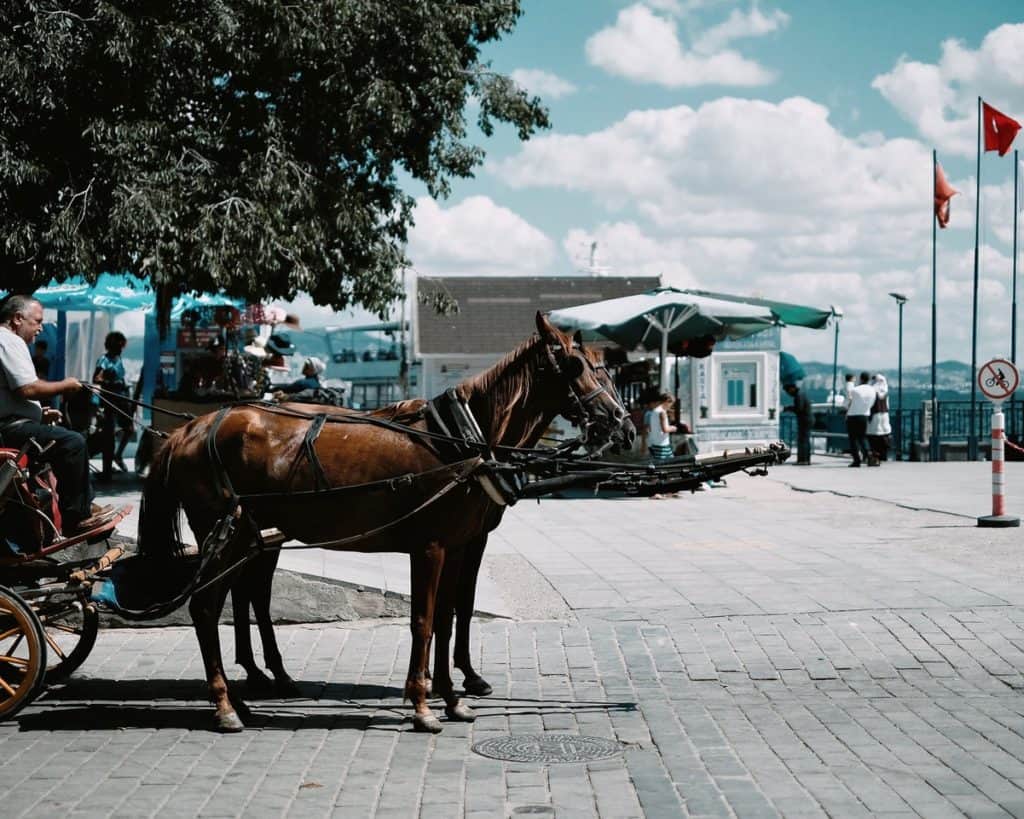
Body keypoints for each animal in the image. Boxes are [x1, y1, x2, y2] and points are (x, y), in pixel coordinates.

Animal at [138, 313, 630, 728]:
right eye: (574, 366)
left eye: (606, 369)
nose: (622, 424)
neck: (461, 440)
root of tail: (192, 430)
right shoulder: (431, 547)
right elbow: (424, 621)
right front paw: (423, 704)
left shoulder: (457, 545)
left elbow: (448, 617)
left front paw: (452, 697)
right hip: (226, 533)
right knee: (207, 607)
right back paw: (226, 705)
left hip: (249, 537)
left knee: (240, 597)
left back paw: (249, 690)